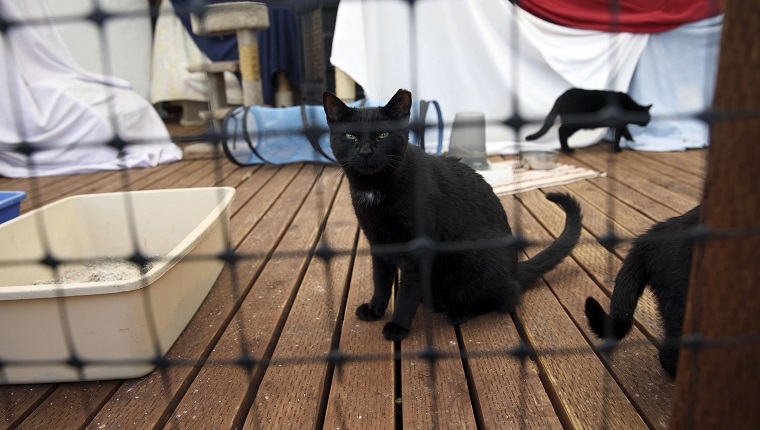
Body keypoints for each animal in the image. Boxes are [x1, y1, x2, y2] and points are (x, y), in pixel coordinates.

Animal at [324, 89, 584, 340]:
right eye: (351, 137)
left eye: (383, 135)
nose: (366, 152)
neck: (374, 189)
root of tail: (515, 270)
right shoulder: (378, 244)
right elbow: (380, 282)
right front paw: (375, 309)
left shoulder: (418, 251)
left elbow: (406, 292)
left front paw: (398, 326)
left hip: (475, 261)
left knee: (505, 297)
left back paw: (458, 312)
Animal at [524, 87, 652, 153]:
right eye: (647, 118)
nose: (647, 123)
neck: (630, 107)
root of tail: (562, 96)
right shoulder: (619, 124)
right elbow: (618, 136)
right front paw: (617, 149)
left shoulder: (620, 124)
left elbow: (626, 132)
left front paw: (631, 140)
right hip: (574, 124)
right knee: (561, 131)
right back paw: (567, 150)